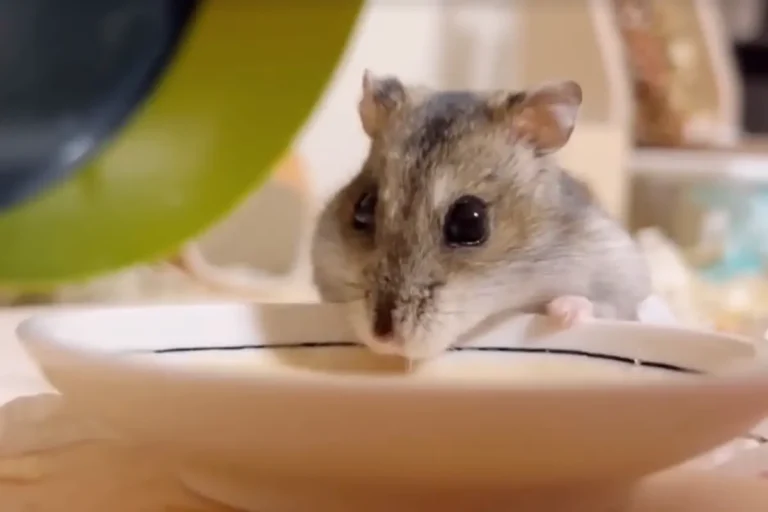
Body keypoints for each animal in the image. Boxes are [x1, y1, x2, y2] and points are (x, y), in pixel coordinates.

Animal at [308, 71, 652, 360]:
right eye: (363, 208)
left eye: (469, 222)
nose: (384, 338)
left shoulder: (619, 274)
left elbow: (602, 304)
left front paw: (563, 313)